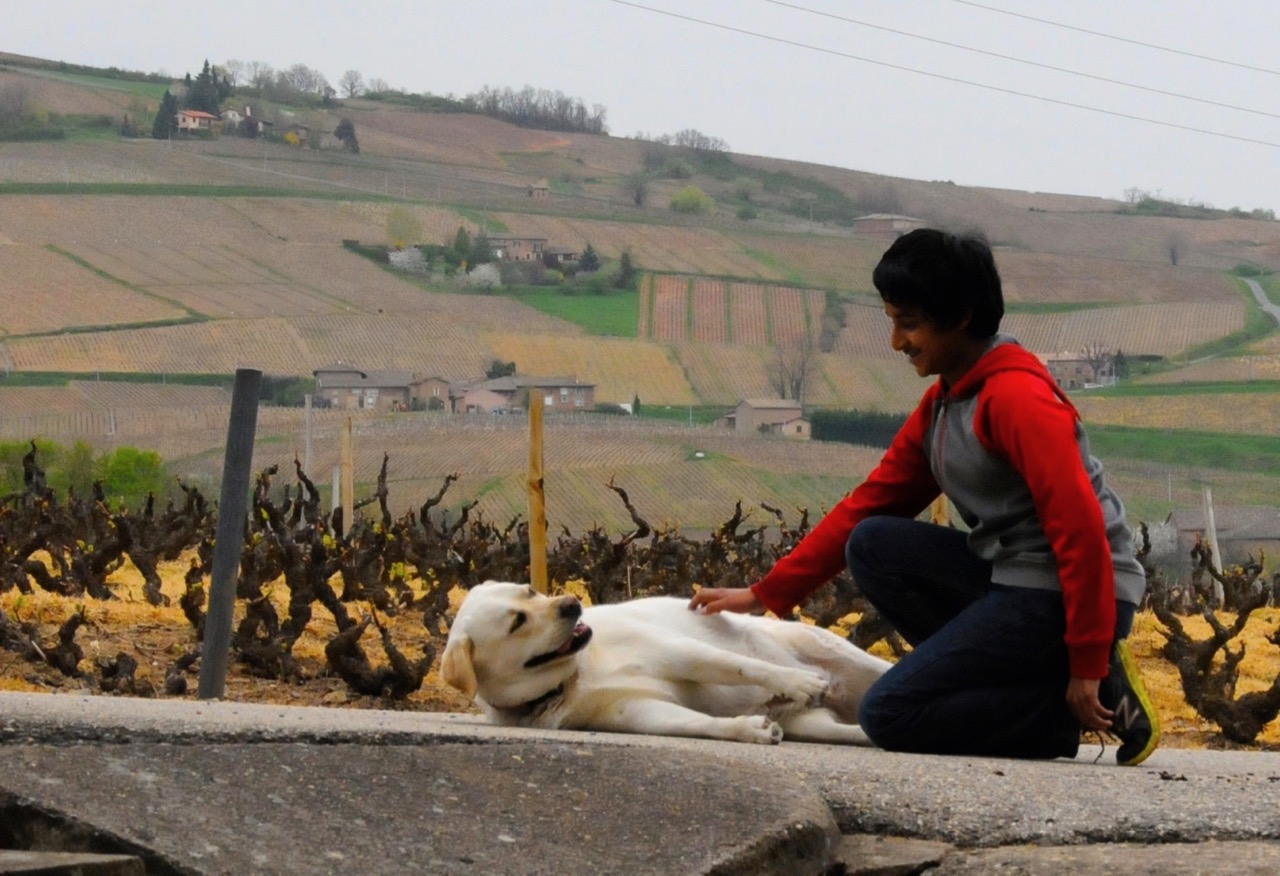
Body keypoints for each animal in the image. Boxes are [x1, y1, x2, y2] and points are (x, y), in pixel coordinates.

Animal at [440, 581, 890, 747]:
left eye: (529, 591)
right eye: (516, 621)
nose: (571, 604)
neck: (575, 675)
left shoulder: (677, 650)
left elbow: (738, 665)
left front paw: (796, 680)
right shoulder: (639, 712)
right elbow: (698, 724)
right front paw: (748, 729)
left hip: (843, 655)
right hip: (816, 724)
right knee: (859, 730)